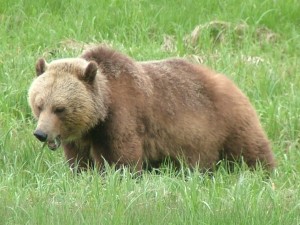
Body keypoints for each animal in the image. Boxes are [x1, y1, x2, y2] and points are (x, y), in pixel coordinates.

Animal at [28, 45, 274, 172]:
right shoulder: (81, 138)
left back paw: (262, 173)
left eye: (60, 108)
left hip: (226, 122)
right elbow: (79, 163)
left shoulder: (122, 117)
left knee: (250, 151)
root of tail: (231, 82)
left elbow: (121, 159)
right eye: (39, 105)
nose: (41, 134)